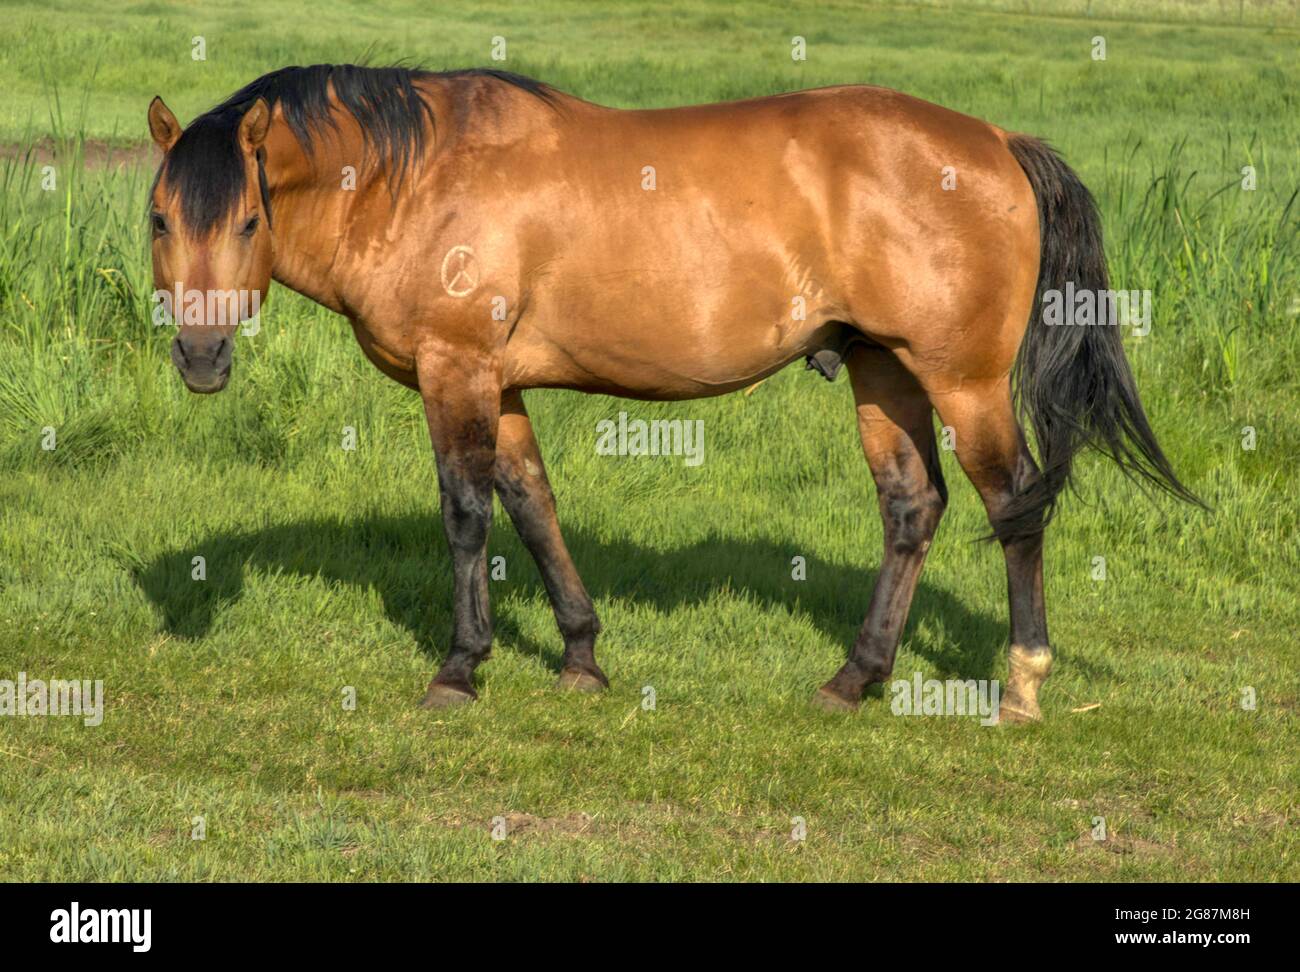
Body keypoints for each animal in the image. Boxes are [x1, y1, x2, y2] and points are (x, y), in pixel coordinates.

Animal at [147, 64, 1201, 722]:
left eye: (247, 221)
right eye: (161, 218)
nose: (200, 356)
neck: (417, 179)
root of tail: (994, 139)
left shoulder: (457, 371)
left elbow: (467, 515)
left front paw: (461, 667)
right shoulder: (502, 383)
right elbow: (533, 505)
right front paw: (580, 657)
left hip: (964, 380)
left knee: (1014, 506)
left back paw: (1021, 684)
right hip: (883, 370)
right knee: (913, 507)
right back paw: (854, 679)